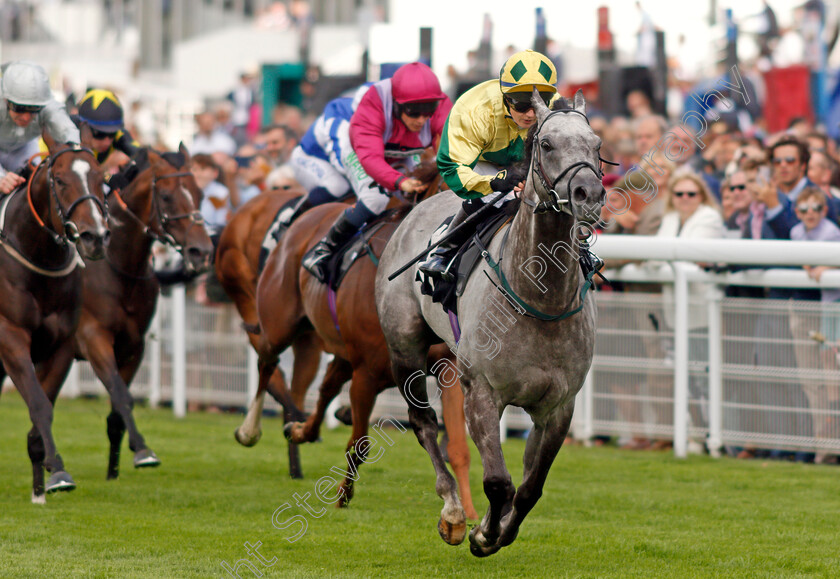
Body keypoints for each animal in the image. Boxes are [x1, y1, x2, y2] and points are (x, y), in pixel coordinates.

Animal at [0, 129, 110, 500]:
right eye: (60, 180)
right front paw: (57, 465)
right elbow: (39, 405)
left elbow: (42, 409)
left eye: (102, 178)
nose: (96, 237)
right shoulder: (10, 338)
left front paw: (46, 482)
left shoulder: (61, 346)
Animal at [68, 146, 213, 480]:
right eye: (168, 196)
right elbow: (122, 396)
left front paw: (113, 473)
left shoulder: (134, 345)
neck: (118, 268)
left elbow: (117, 411)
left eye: (200, 193)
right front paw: (143, 451)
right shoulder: (93, 338)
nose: (201, 252)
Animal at [248, 162, 480, 520]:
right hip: (281, 323)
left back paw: (300, 429)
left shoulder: (447, 368)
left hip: (342, 353)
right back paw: (249, 430)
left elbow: (457, 446)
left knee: (325, 386)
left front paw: (467, 511)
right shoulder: (367, 374)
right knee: (266, 360)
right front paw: (342, 496)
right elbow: (359, 444)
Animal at [374, 92, 604, 556]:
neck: (539, 297)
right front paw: (482, 533)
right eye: (547, 144)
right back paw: (452, 511)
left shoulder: (558, 406)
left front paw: (502, 529)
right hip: (403, 347)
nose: (588, 193)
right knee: (423, 423)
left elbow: (530, 486)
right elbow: (498, 481)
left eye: (597, 145)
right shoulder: (480, 390)